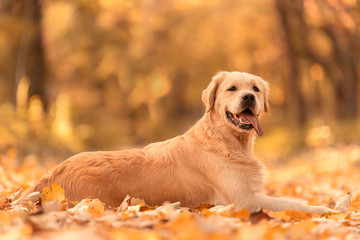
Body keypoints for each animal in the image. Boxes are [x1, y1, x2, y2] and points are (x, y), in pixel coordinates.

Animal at [23, 71, 334, 214]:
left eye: (255, 88)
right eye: (232, 88)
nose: (248, 97)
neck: (226, 142)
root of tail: (49, 176)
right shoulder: (243, 199)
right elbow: (292, 203)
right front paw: (326, 209)